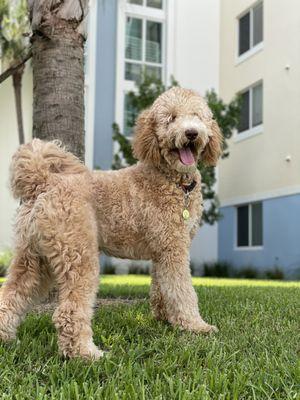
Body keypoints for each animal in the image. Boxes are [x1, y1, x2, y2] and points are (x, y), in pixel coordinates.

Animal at [0, 86, 223, 360]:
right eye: (170, 118)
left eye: (197, 116)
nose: (191, 133)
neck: (173, 181)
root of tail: (44, 181)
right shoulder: (174, 248)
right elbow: (182, 290)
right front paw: (195, 326)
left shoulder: (162, 251)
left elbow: (161, 287)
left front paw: (165, 319)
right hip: (78, 253)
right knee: (68, 311)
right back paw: (86, 354)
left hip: (32, 258)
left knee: (11, 294)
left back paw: (6, 339)